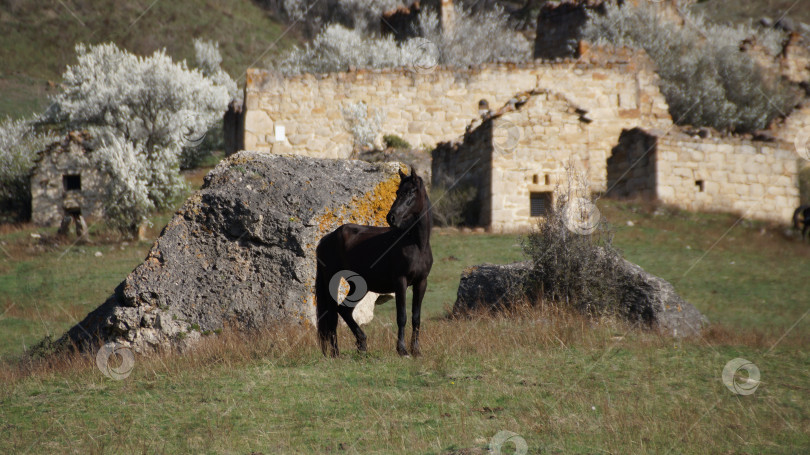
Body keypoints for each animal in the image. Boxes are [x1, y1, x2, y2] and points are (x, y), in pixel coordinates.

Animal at [314, 166, 432, 358]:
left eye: (410, 192)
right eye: (398, 192)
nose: (391, 217)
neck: (416, 244)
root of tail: (327, 238)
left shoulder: (421, 283)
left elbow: (416, 317)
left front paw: (416, 350)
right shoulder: (400, 282)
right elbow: (402, 316)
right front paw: (402, 350)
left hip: (359, 285)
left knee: (344, 310)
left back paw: (361, 344)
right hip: (332, 279)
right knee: (332, 314)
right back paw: (336, 352)